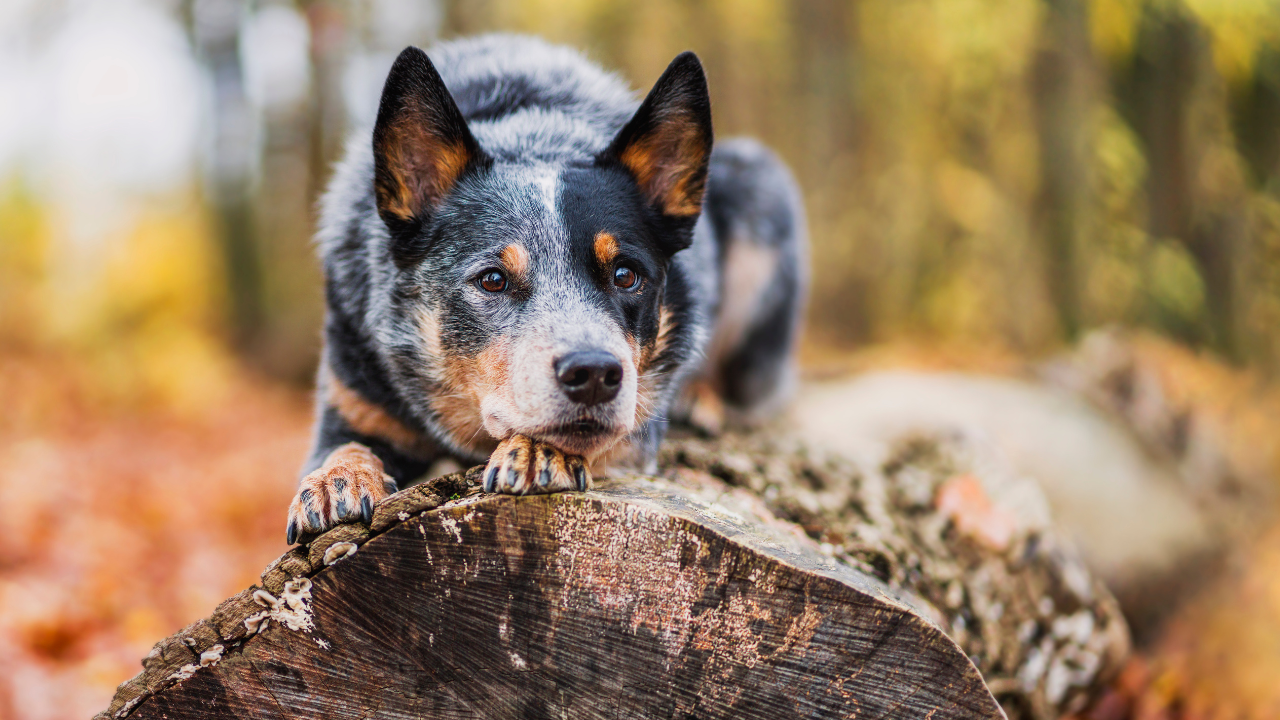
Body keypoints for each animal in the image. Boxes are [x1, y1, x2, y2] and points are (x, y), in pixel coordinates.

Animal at [291, 33, 808, 538]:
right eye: (493, 280)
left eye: (626, 275)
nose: (595, 374)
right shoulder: (353, 400)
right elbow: (343, 447)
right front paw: (336, 479)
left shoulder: (638, 425)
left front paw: (537, 449)